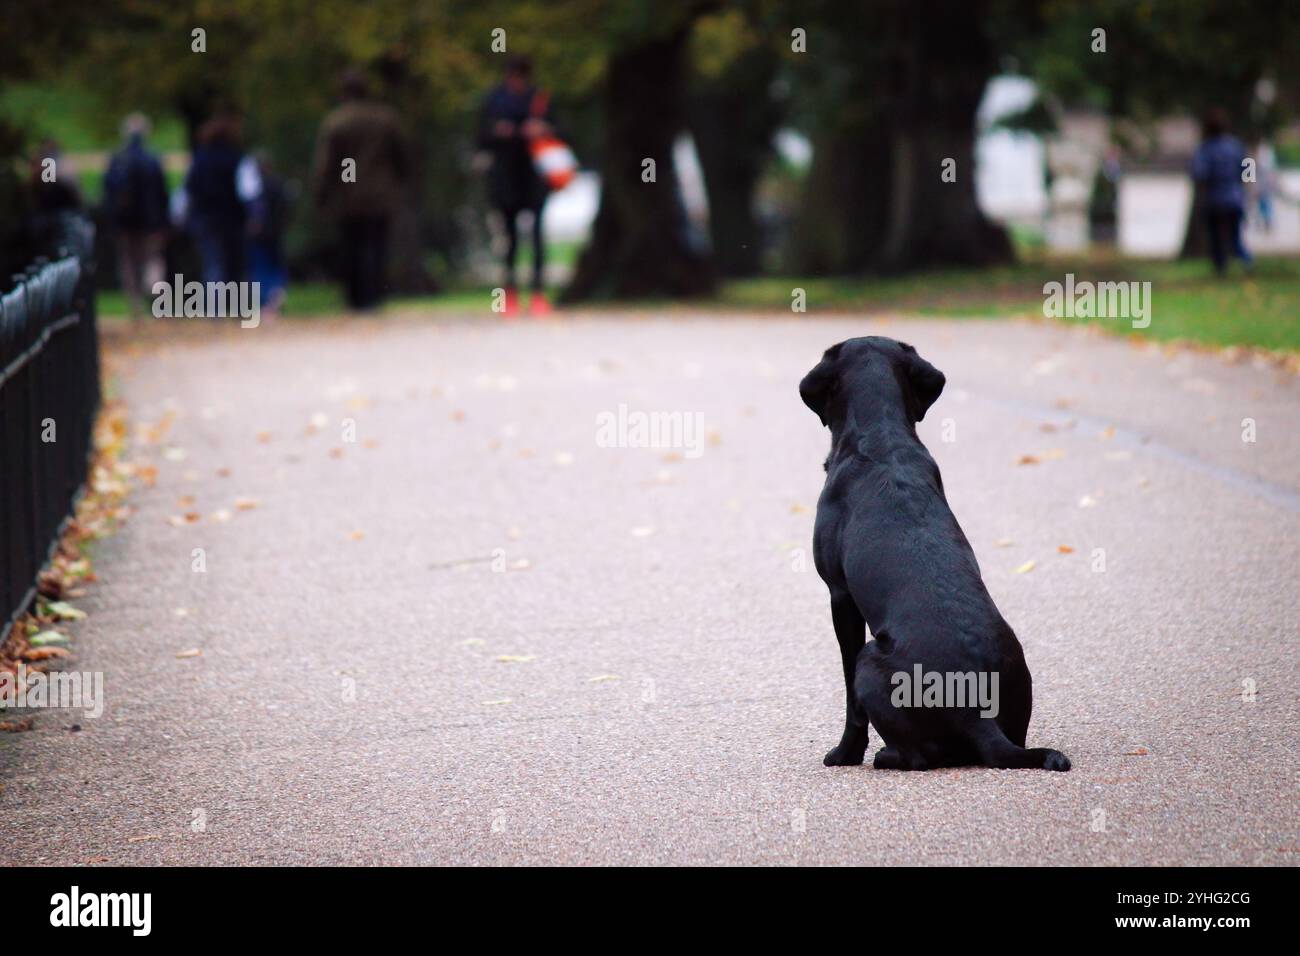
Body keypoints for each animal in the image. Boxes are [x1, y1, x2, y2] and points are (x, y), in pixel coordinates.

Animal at [800, 335, 1066, 770]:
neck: (882, 439)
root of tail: (975, 709)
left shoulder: (839, 595)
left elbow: (851, 702)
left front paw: (844, 754)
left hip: (871, 658)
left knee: (920, 755)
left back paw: (885, 756)